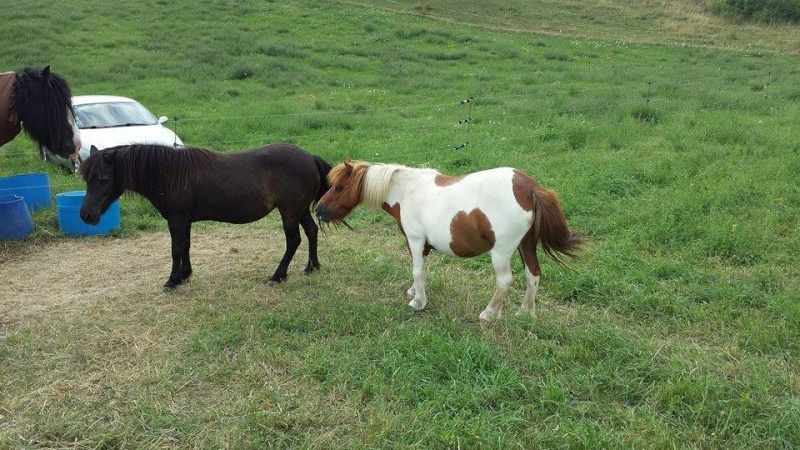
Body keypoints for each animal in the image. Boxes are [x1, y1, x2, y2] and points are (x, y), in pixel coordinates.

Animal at [79, 143, 332, 288]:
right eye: (87, 179)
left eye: (104, 180)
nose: (86, 215)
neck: (170, 175)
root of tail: (310, 157)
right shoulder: (184, 220)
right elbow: (186, 246)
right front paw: (185, 274)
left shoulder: (177, 218)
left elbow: (176, 249)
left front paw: (172, 281)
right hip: (299, 210)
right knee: (311, 232)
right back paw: (312, 267)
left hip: (289, 212)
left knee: (293, 241)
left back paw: (277, 276)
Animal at [316, 160, 584, 326]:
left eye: (339, 187)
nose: (319, 210)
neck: (407, 191)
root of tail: (530, 188)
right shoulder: (422, 245)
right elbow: (420, 270)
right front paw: (414, 292)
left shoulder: (415, 241)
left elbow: (417, 270)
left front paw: (418, 302)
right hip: (526, 246)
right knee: (533, 275)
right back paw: (525, 313)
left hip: (501, 252)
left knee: (505, 281)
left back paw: (489, 314)